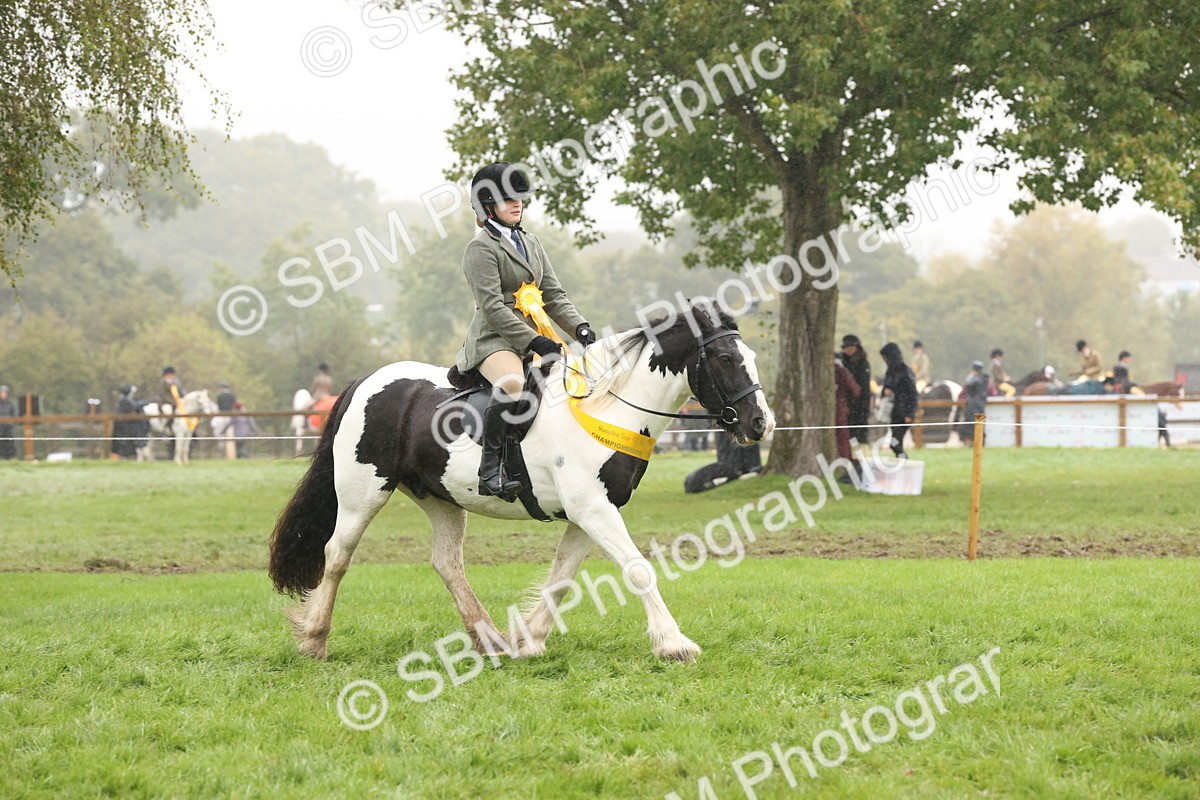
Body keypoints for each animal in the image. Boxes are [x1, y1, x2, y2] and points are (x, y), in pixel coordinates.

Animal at [268, 303, 774, 662]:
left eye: (749, 357)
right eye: (726, 358)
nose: (760, 424)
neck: (608, 407)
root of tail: (365, 382)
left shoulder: (590, 512)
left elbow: (562, 578)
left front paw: (529, 640)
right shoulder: (593, 509)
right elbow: (637, 569)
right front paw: (673, 643)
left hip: (440, 497)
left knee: (447, 563)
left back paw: (490, 640)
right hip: (363, 494)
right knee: (337, 555)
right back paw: (314, 640)